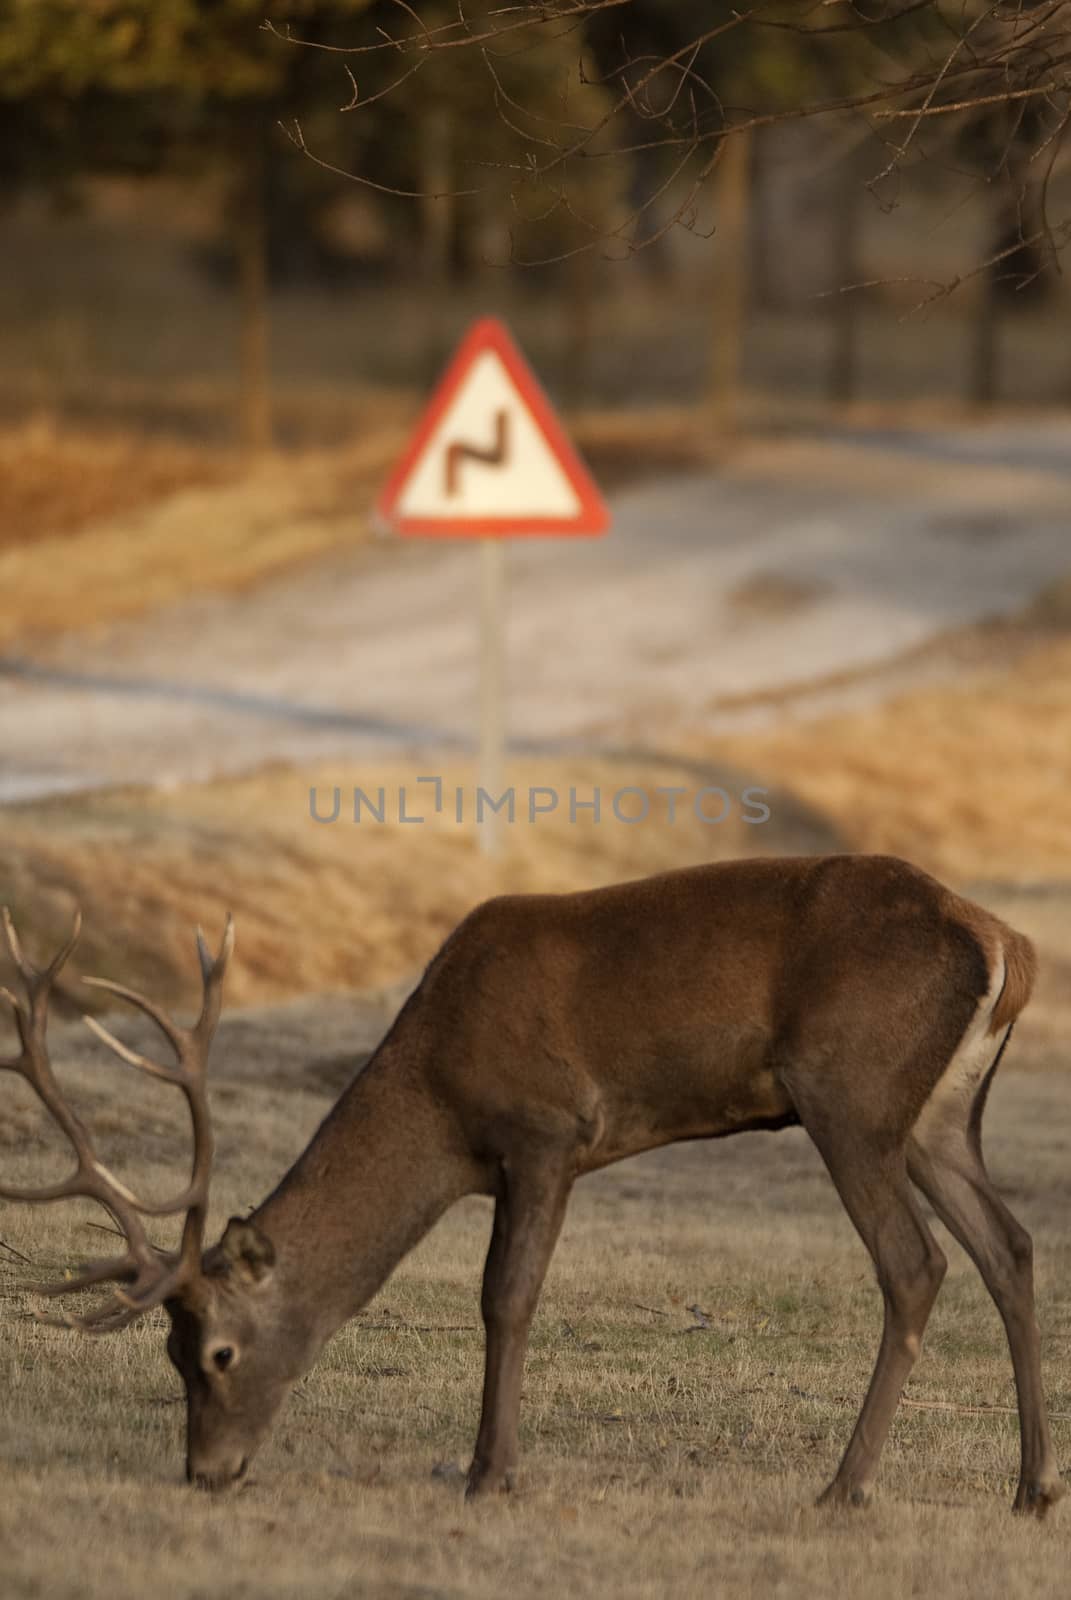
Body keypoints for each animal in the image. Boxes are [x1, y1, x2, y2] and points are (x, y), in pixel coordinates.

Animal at [0, 851, 1062, 1510]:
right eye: (168, 1353)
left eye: (216, 1352)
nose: (204, 1472)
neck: (438, 1087)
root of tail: (1007, 947)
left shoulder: (544, 1130)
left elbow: (505, 1298)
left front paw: (489, 1474)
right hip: (936, 1118)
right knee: (1009, 1245)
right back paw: (1031, 1488)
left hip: (849, 1092)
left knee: (915, 1265)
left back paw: (845, 1486)